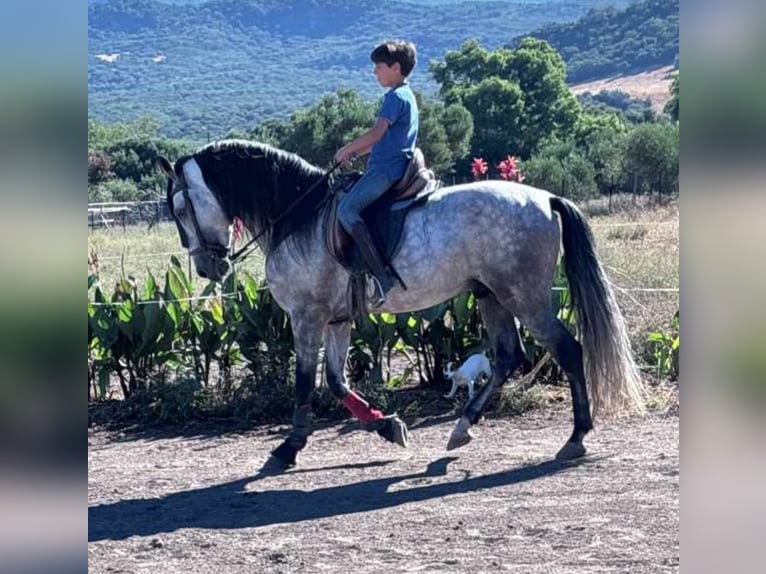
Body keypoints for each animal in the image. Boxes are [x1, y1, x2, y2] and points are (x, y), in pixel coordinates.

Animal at [159, 141, 644, 472]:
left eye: (181, 208)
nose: (206, 267)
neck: (298, 216)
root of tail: (545, 198)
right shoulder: (336, 320)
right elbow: (336, 383)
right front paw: (388, 426)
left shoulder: (307, 316)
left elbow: (303, 383)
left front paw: (288, 448)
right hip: (491, 295)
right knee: (509, 355)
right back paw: (462, 428)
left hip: (524, 298)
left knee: (567, 351)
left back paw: (576, 437)